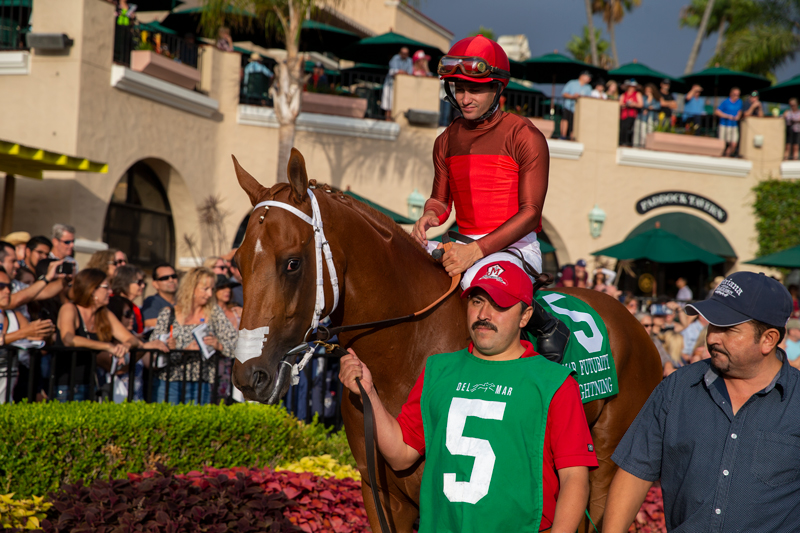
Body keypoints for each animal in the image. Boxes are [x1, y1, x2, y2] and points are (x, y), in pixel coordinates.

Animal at [230, 150, 664, 532]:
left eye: (292, 262)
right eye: (238, 262)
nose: (250, 375)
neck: (405, 349)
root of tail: (634, 320)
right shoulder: (381, 491)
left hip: (606, 464)